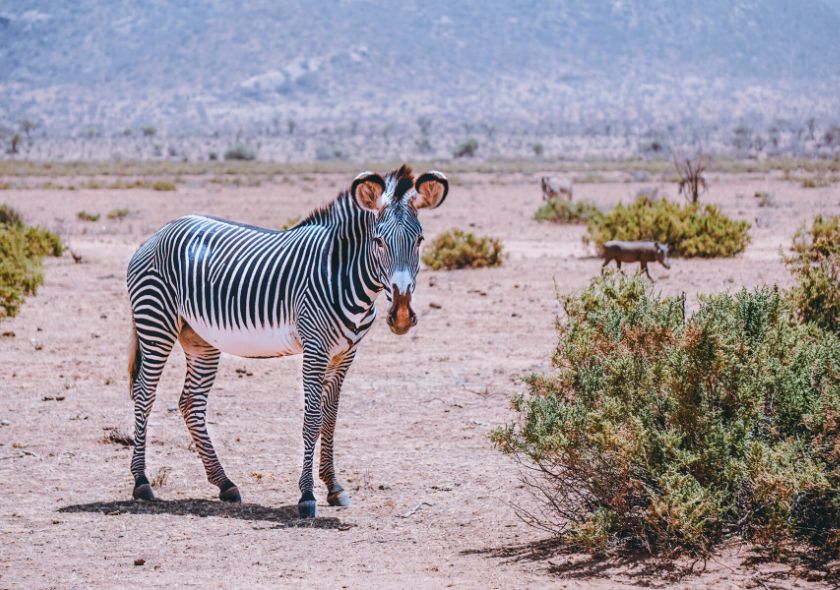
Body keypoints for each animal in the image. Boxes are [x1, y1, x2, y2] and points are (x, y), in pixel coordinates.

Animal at [126, 165, 448, 518]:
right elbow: (312, 418)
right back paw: (142, 482)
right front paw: (307, 495)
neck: (344, 273)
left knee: (191, 403)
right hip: (156, 322)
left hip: (199, 338)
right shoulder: (316, 348)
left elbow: (330, 419)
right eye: (378, 241)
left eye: (419, 240)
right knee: (144, 394)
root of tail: (160, 231)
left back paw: (225, 483)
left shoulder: (345, 354)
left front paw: (334, 487)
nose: (401, 314)